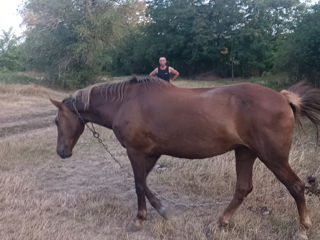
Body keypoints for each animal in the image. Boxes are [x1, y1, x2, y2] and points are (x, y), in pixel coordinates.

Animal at [50, 78, 320, 239]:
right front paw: (162, 210)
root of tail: (283, 97)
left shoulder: (136, 152)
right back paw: (219, 224)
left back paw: (303, 229)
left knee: (296, 187)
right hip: (245, 152)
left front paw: (140, 219)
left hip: (272, 157)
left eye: (56, 121)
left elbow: (138, 184)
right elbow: (144, 184)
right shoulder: (151, 153)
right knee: (243, 188)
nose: (62, 152)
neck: (126, 102)